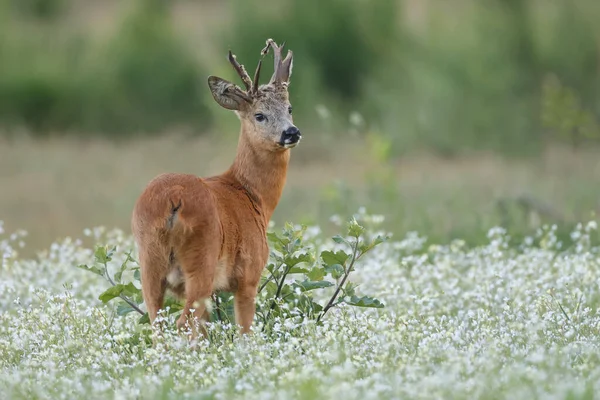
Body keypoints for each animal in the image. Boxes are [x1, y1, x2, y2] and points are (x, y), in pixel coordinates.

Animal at [131, 39, 300, 336]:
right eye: (259, 115)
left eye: (289, 108)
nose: (291, 133)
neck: (252, 195)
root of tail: (172, 201)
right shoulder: (249, 275)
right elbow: (245, 331)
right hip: (202, 262)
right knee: (184, 323)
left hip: (149, 264)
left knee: (159, 325)